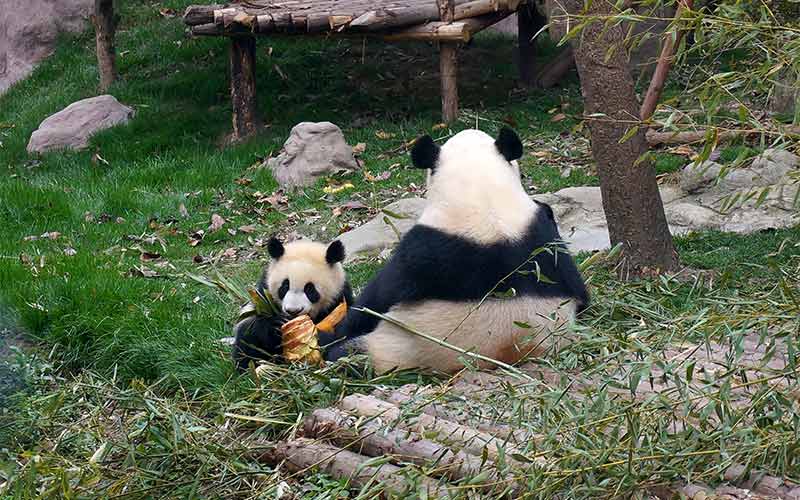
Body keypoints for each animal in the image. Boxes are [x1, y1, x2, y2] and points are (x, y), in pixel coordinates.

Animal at [232, 237, 354, 371]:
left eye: (310, 289)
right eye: (285, 286)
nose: (293, 310)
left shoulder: (340, 297)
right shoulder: (263, 295)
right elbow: (258, 328)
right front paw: (276, 324)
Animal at [320, 127, 589, 374]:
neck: (482, 198)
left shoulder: (418, 252)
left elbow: (372, 304)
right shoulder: (543, 234)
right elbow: (579, 290)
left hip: (393, 347)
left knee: (349, 353)